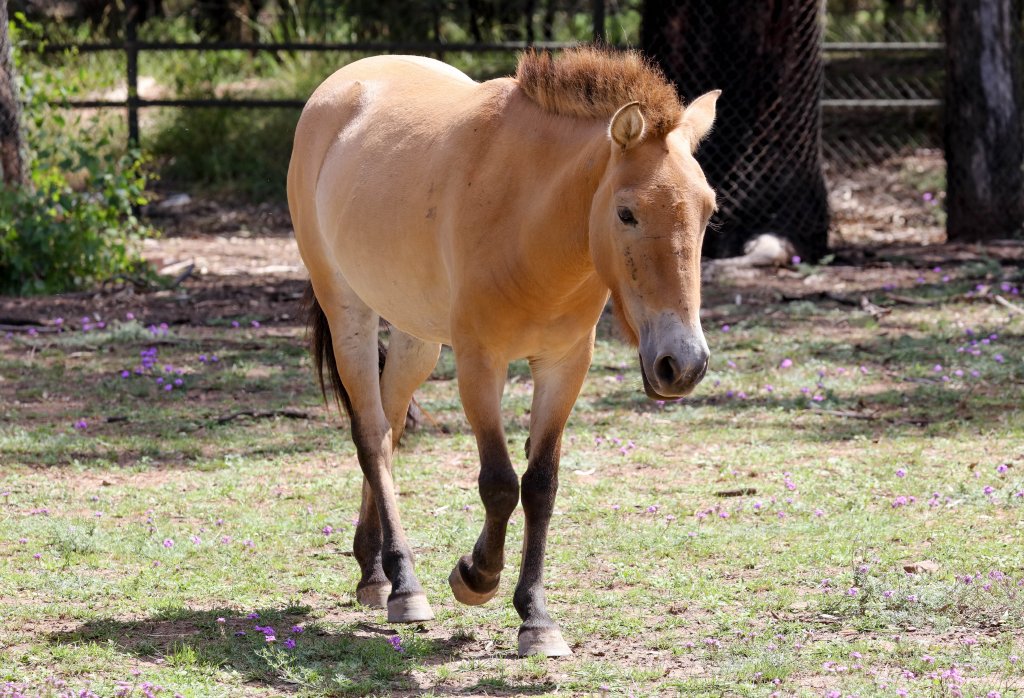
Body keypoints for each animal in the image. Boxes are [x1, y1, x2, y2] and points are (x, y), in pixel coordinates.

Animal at [287, 47, 719, 657]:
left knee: (390, 428)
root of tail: (343, 83)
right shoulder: (479, 362)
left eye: (708, 211)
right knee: (371, 435)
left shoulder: (564, 365)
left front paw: (536, 618)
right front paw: (475, 576)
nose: (683, 365)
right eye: (627, 213)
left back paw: (375, 572)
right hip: (349, 309)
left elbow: (541, 485)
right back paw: (405, 585)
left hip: (417, 336)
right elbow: (498, 482)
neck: (531, 225)